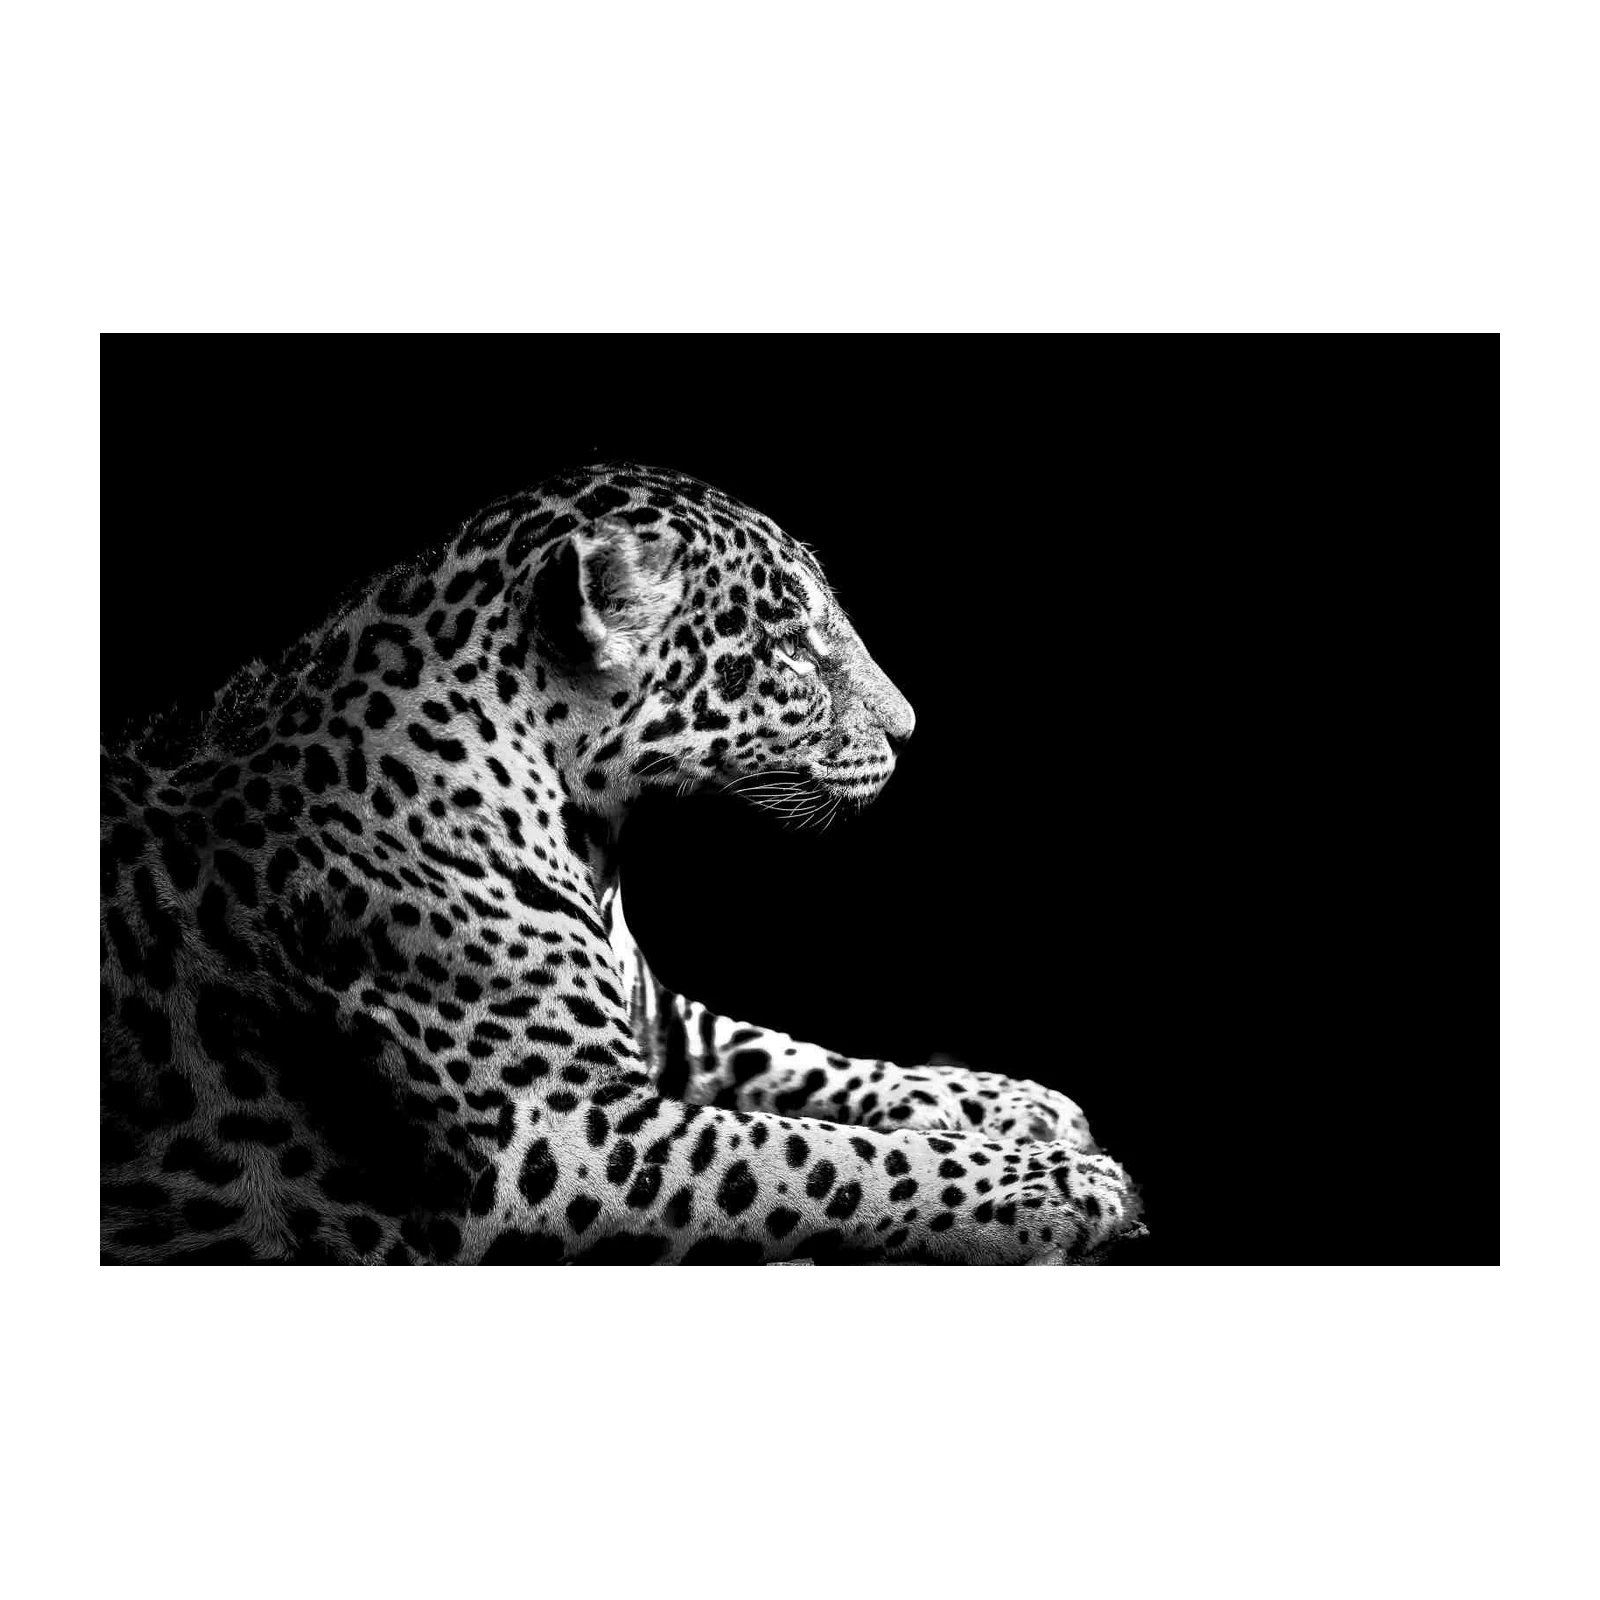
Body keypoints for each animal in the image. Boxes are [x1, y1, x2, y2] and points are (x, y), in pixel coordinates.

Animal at [95, 461, 1143, 1269]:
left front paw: (1023, 1103)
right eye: (791, 647)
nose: (910, 728)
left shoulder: (662, 1025)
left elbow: (808, 1061)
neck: (591, 831)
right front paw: (1069, 1187)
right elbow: (824, 1158)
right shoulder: (566, 1137)